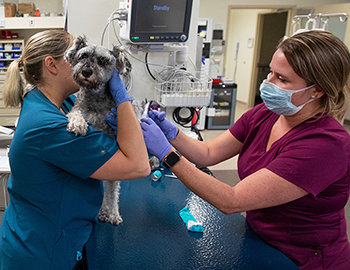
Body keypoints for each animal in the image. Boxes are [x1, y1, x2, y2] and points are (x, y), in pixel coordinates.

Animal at [63, 35, 133, 226]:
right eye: (83, 56)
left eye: (102, 60)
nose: (86, 72)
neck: (95, 96)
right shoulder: (78, 109)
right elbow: (77, 114)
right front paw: (78, 124)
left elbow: (113, 192)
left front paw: (113, 213)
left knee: (111, 191)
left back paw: (110, 212)